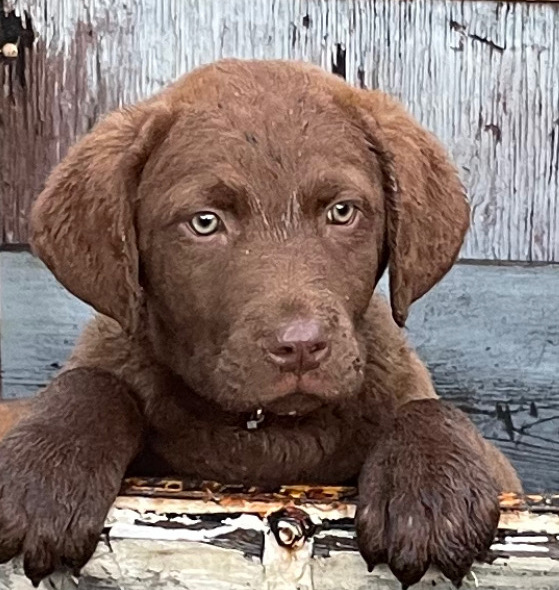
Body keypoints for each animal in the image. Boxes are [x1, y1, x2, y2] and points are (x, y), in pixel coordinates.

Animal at [0, 61, 520, 590]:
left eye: (342, 211)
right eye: (205, 222)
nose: (301, 347)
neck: (265, 432)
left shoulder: (500, 472)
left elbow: (430, 408)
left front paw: (430, 493)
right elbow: (92, 381)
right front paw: (45, 476)